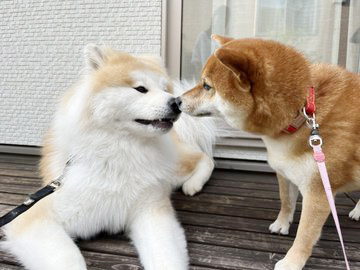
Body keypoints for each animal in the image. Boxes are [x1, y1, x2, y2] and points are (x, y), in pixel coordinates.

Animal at [1, 45, 215, 268]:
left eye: (166, 89)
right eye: (141, 89)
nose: (176, 103)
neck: (121, 151)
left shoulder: (151, 211)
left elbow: (166, 258)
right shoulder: (35, 218)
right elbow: (69, 258)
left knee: (205, 159)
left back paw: (193, 185)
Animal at [177, 34, 360, 268]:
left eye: (207, 86)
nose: (176, 100)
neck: (301, 112)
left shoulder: (318, 192)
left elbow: (305, 235)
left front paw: (291, 263)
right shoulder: (284, 172)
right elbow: (286, 201)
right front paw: (282, 224)